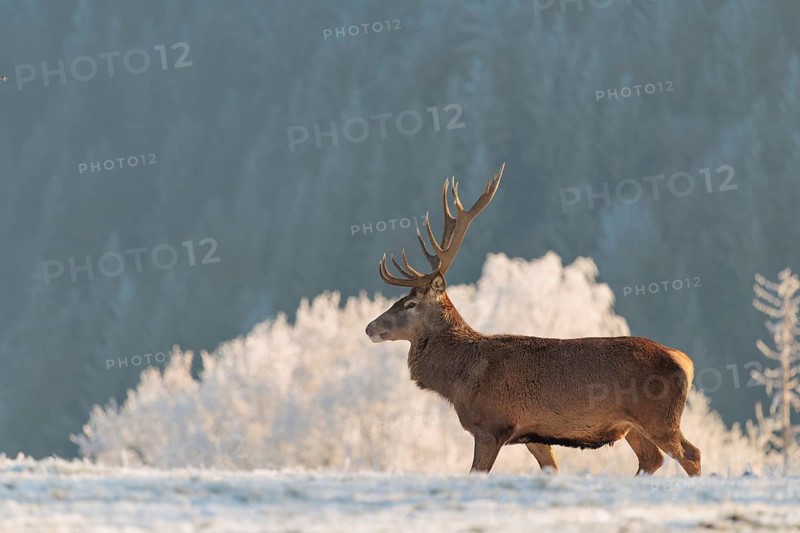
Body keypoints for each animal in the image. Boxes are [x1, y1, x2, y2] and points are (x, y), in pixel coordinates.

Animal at [365, 163, 701, 477]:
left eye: (410, 303)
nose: (369, 327)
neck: (460, 377)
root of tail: (685, 361)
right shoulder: (534, 435)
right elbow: (551, 467)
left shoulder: (492, 426)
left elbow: (477, 472)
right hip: (632, 426)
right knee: (652, 458)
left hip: (659, 417)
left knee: (691, 454)